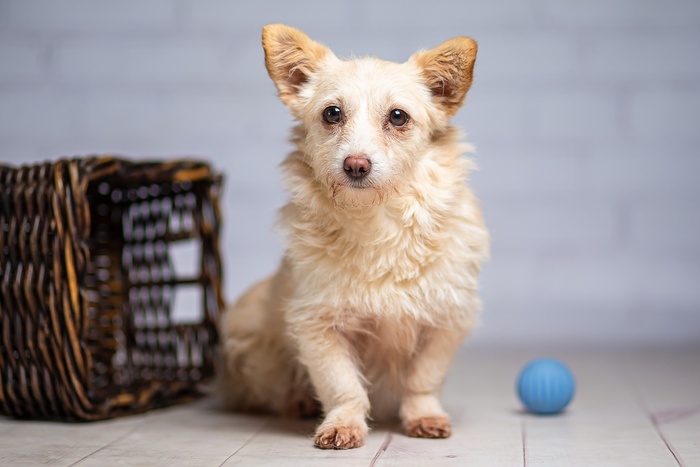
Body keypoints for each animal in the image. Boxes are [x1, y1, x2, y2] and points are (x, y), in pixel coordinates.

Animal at [218, 24, 489, 450]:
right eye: (332, 113)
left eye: (398, 117)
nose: (356, 165)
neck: (376, 220)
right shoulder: (318, 325)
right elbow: (341, 383)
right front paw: (343, 423)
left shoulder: (447, 320)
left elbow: (423, 379)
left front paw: (424, 415)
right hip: (251, 342)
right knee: (269, 389)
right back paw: (296, 402)